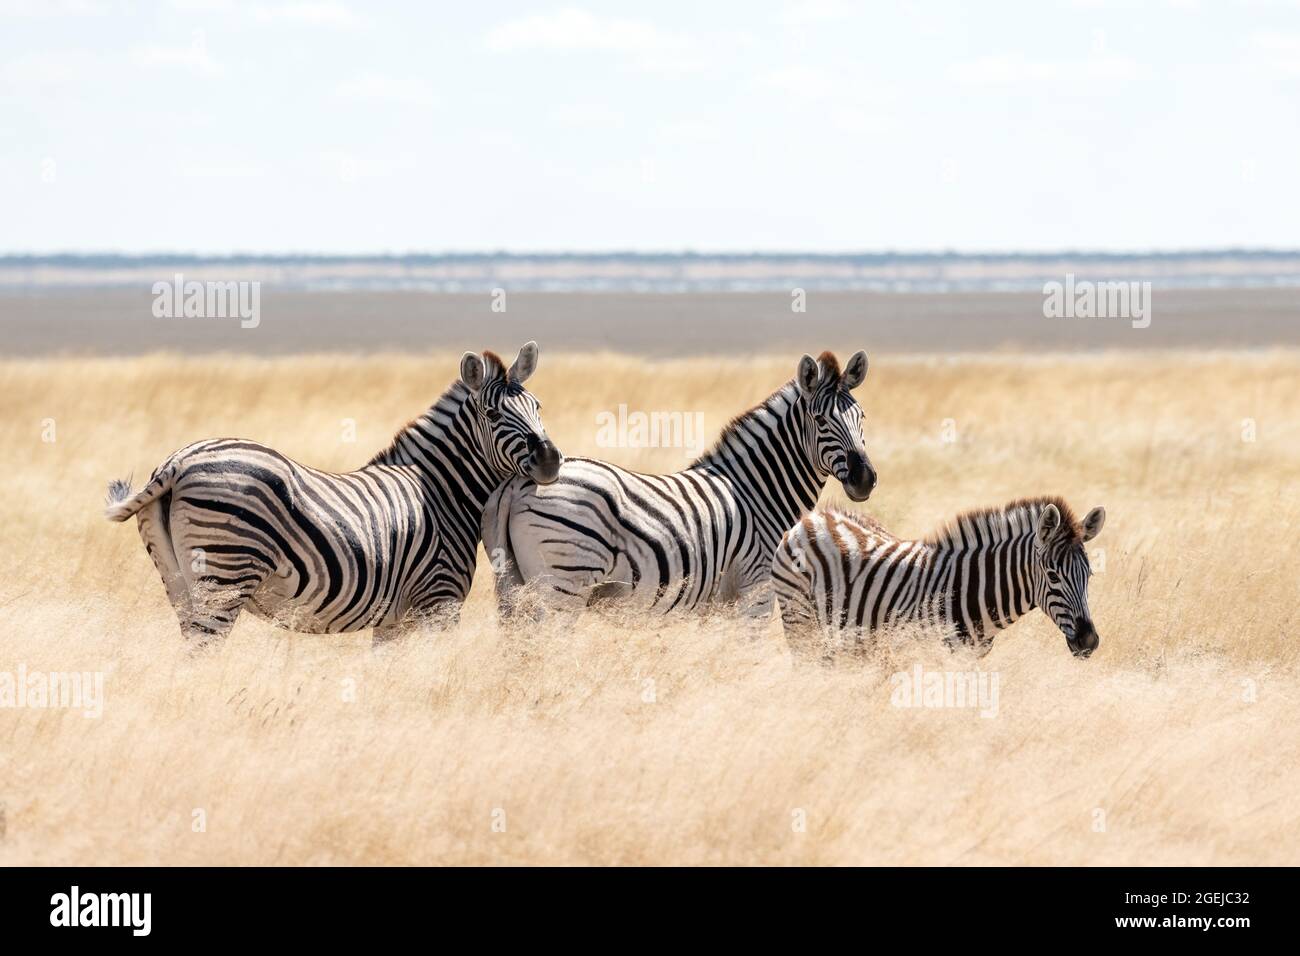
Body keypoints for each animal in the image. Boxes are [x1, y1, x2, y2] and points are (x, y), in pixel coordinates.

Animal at [104, 340, 561, 647]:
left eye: (539, 406)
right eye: (493, 414)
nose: (550, 459)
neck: (441, 490)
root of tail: (177, 462)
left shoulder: (393, 619)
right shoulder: (439, 600)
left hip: (179, 582)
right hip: (225, 573)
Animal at [483, 348, 878, 621]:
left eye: (862, 416)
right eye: (820, 420)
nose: (865, 479)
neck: (758, 492)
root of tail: (518, 482)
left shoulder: (720, 604)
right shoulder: (756, 590)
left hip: (515, 585)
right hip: (563, 585)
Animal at [769, 496, 1107, 660]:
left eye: (1088, 575)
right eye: (1052, 575)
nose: (1089, 641)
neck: (968, 591)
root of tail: (812, 517)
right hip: (798, 619)